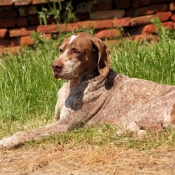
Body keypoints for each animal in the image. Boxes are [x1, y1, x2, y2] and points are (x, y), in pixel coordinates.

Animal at [0, 31, 175, 149]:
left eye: (76, 51)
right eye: (61, 50)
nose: (55, 66)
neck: (75, 83)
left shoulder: (64, 125)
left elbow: (25, 133)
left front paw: (8, 141)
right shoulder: (57, 120)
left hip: (143, 112)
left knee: (159, 134)